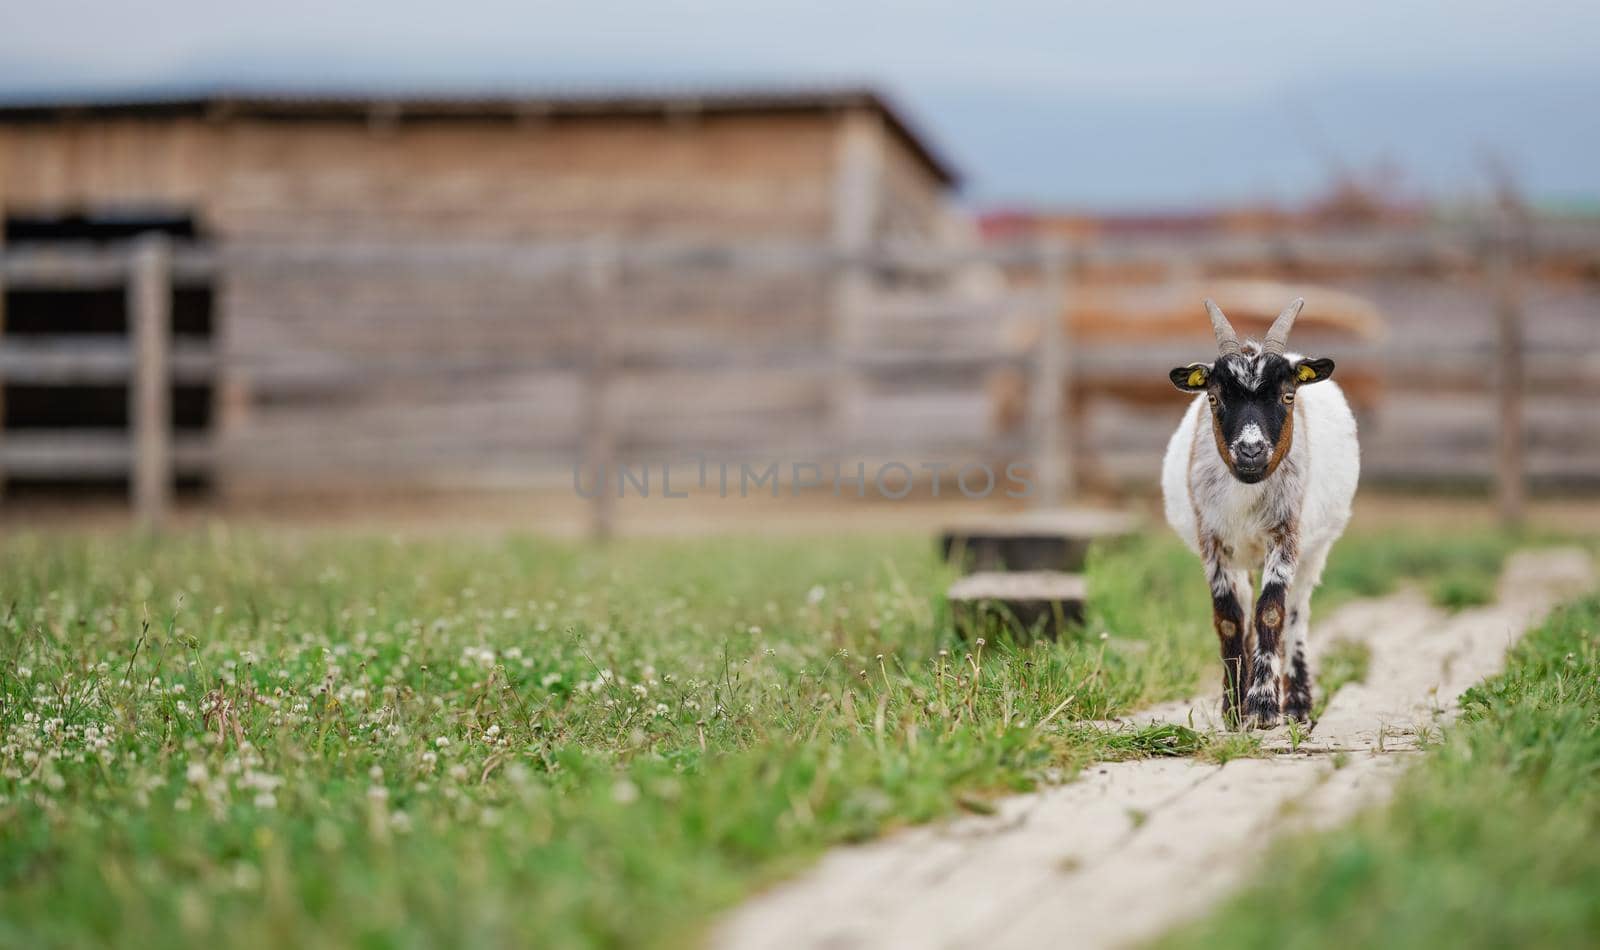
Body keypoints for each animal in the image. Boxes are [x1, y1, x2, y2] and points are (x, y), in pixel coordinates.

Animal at [1158, 295, 1356, 726]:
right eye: (1213, 398)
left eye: (1287, 396)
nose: (1250, 450)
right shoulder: (1212, 541)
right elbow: (1230, 617)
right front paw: (1234, 706)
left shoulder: (1286, 534)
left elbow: (1272, 613)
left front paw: (1264, 705)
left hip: (1317, 547)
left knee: (1297, 612)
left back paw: (1296, 702)